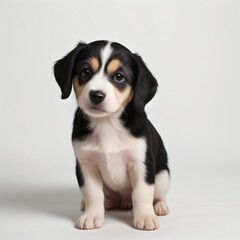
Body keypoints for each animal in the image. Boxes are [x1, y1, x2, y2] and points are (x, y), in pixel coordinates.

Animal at [53, 40, 170, 231]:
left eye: (119, 76)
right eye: (85, 71)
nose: (96, 95)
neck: (107, 123)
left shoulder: (140, 164)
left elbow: (142, 193)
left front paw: (145, 216)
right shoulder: (86, 165)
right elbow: (93, 194)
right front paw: (92, 215)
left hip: (162, 177)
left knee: (157, 195)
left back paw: (160, 206)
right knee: (106, 197)